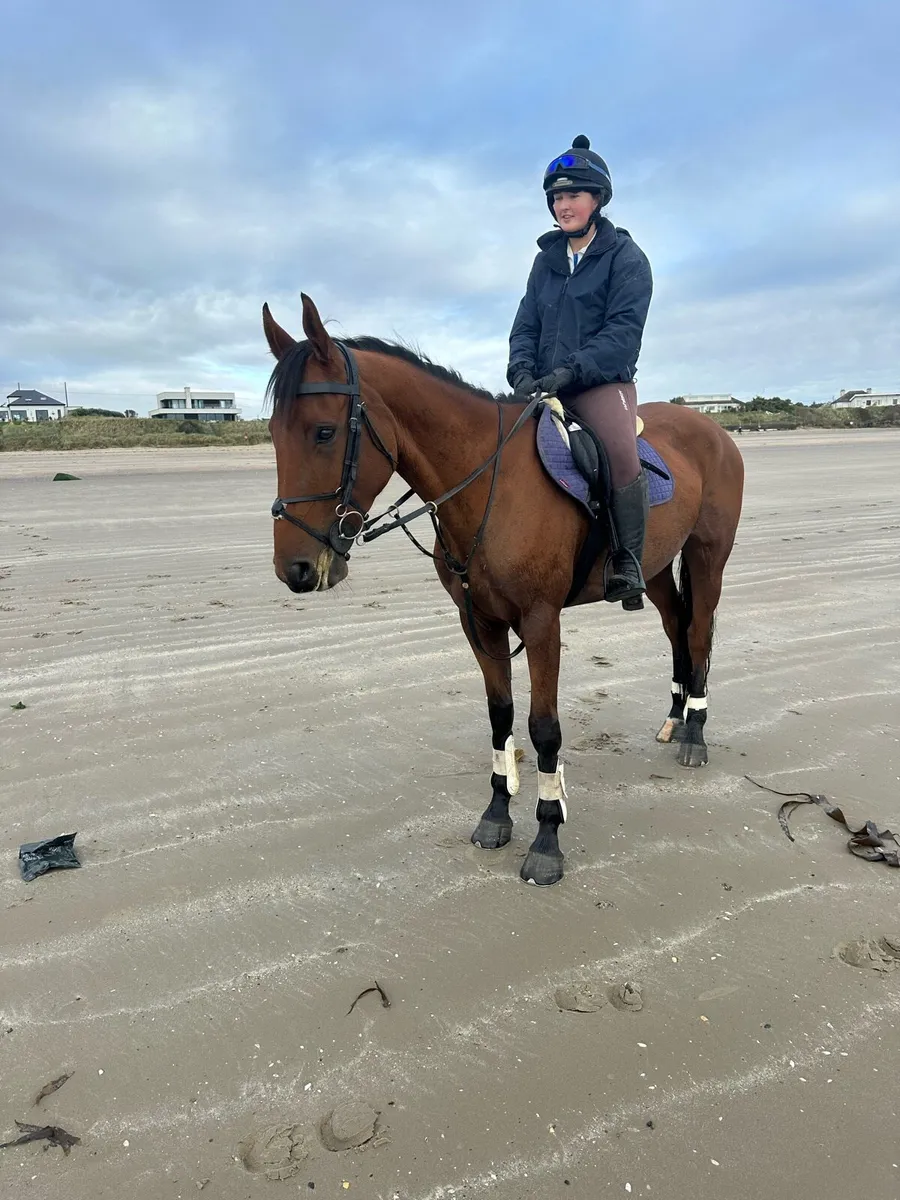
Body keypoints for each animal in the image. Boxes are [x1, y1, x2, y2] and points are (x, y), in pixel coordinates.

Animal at [262, 294, 744, 887]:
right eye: (273, 433)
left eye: (324, 432)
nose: (296, 568)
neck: (489, 485)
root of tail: (712, 427)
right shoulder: (480, 622)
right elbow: (500, 716)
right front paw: (496, 814)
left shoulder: (541, 622)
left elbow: (544, 729)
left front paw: (547, 838)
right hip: (653, 569)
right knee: (676, 625)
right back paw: (675, 719)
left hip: (707, 557)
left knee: (697, 632)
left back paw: (695, 733)